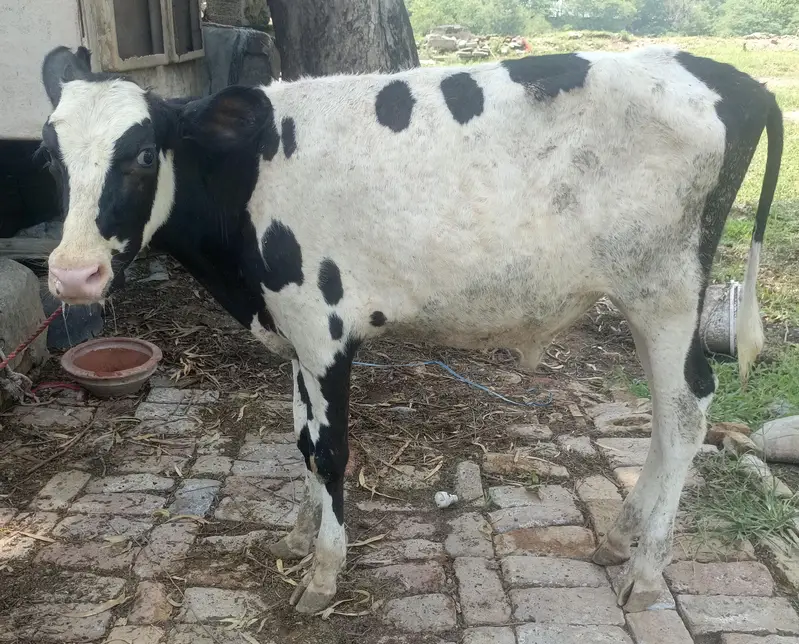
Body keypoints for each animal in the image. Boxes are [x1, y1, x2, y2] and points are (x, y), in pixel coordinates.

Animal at [38, 44, 782, 614]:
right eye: (49, 156)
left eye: (142, 154)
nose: (73, 275)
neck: (248, 174)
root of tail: (722, 75)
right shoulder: (296, 331)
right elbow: (301, 438)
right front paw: (297, 535)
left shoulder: (325, 328)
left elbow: (329, 450)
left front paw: (324, 572)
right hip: (645, 300)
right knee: (665, 413)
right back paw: (622, 534)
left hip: (667, 293)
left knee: (686, 412)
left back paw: (647, 570)